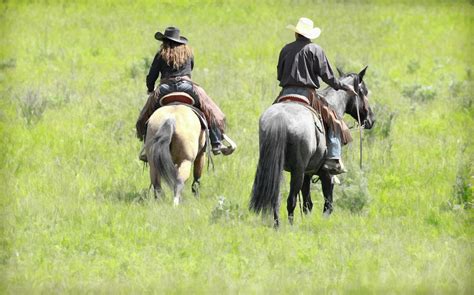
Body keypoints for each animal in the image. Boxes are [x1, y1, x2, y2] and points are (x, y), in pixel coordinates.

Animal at [250, 67, 376, 229]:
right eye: (364, 91)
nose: (371, 119)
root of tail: (280, 119)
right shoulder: (326, 174)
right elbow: (328, 204)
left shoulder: (308, 172)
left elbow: (307, 204)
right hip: (297, 171)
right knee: (291, 200)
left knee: (276, 199)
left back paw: (277, 225)